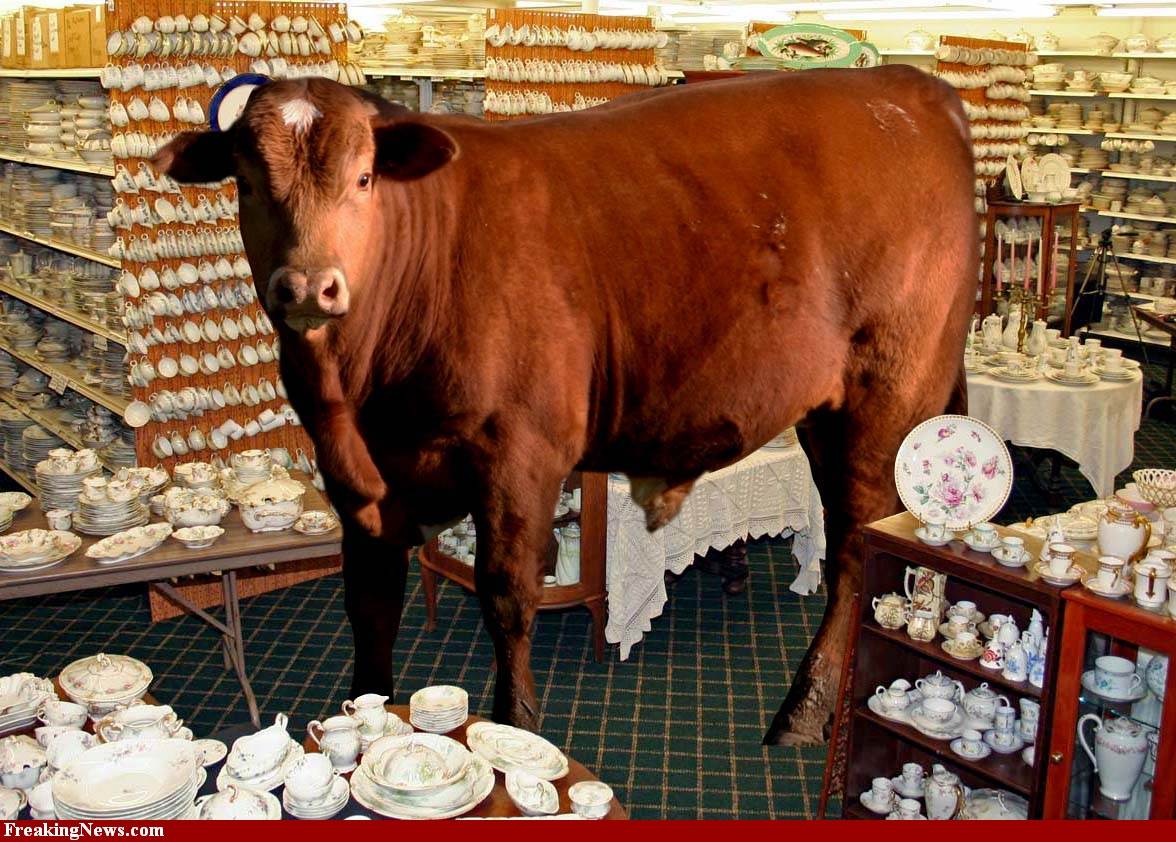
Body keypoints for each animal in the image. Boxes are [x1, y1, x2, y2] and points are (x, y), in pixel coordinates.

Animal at [154, 65, 976, 746]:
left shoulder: (517, 451)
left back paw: (804, 711)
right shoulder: (354, 479)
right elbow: (371, 603)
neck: (358, 388)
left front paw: (517, 727)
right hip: (829, 414)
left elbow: (507, 595)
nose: (309, 286)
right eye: (247, 184)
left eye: (363, 179)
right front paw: (362, 716)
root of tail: (910, 85)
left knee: (857, 548)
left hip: (889, 398)